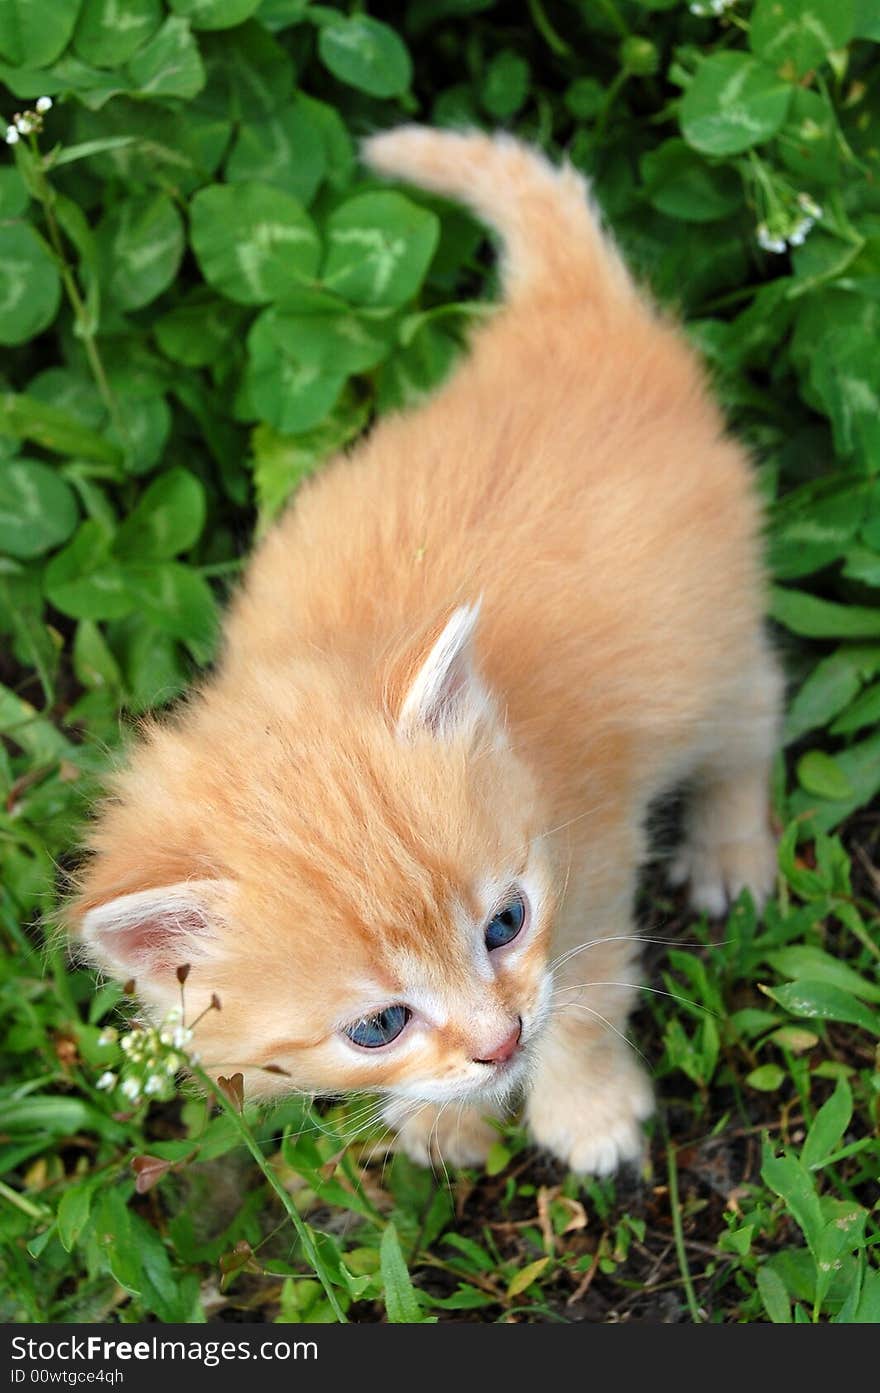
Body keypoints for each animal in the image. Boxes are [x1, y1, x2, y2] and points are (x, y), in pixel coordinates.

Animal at [70, 128, 785, 1175]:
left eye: (505, 924)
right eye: (378, 1026)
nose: (498, 1041)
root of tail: (561, 319)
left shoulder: (594, 862)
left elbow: (587, 996)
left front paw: (588, 1111)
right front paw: (447, 1117)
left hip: (710, 625)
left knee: (752, 712)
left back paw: (731, 848)